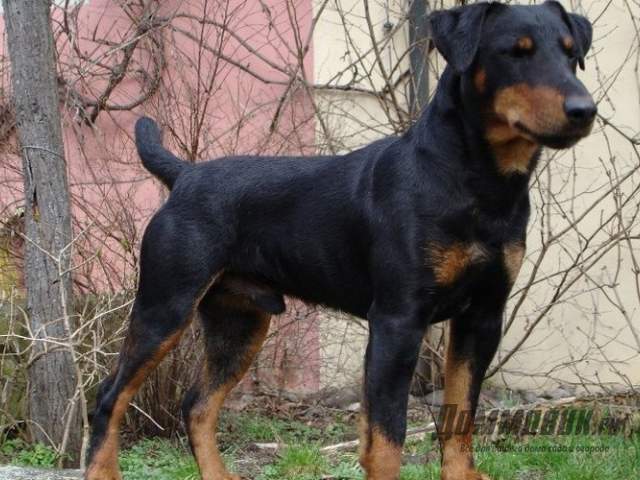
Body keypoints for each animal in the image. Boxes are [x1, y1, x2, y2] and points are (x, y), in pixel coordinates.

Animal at [85, 2, 595, 479]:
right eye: (515, 51)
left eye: (572, 54)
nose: (584, 110)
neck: (474, 180)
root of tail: (184, 176)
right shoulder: (398, 320)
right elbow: (388, 435)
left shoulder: (482, 317)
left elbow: (459, 415)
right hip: (165, 308)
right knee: (109, 397)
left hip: (240, 322)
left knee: (197, 404)